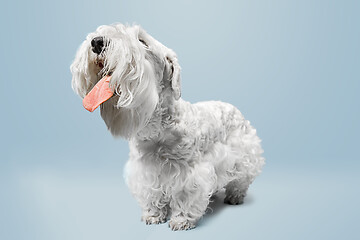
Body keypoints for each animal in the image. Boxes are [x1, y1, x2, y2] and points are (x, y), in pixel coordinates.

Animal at [70, 23, 264, 231]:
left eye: (142, 41)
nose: (97, 42)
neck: (157, 129)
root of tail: (234, 108)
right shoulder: (146, 171)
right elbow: (151, 194)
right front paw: (153, 215)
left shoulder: (191, 172)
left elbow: (186, 196)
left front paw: (181, 220)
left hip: (245, 156)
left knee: (242, 179)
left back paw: (235, 196)